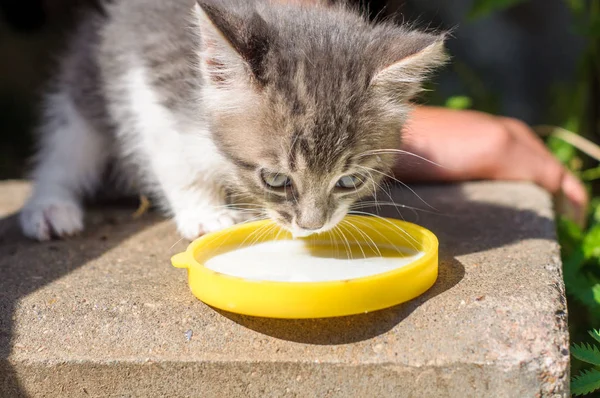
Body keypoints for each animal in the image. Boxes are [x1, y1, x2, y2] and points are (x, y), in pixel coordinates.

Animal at [18, 0, 446, 241]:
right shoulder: (148, 82)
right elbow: (172, 156)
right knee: (67, 141)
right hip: (86, 80)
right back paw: (50, 207)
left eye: (349, 181)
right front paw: (206, 214)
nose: (311, 227)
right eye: (275, 179)